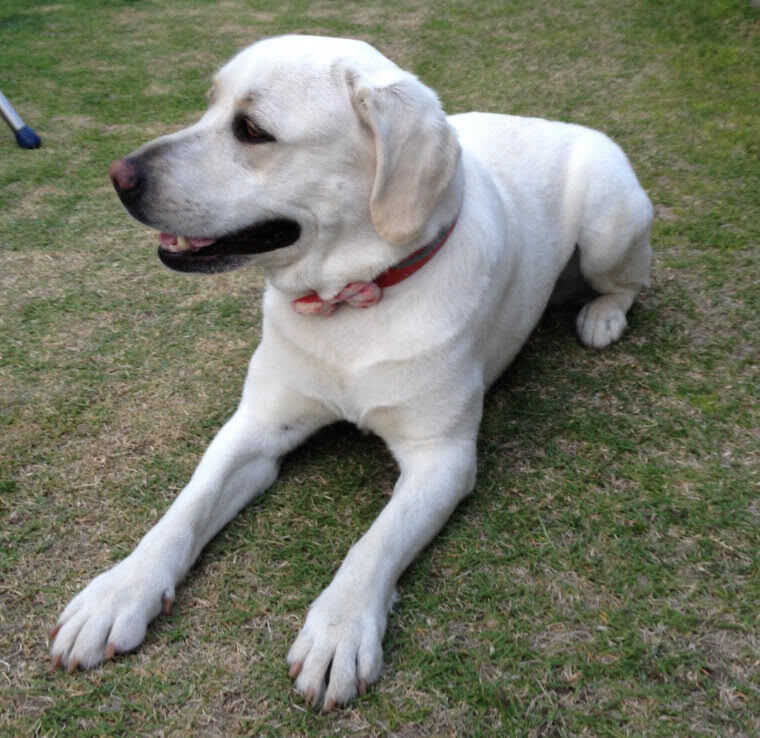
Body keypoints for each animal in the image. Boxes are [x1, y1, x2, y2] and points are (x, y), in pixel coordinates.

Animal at [50, 35, 652, 710]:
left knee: (629, 282)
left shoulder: (443, 457)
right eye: (209, 104)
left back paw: (602, 316)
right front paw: (119, 591)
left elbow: (375, 543)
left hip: (609, 225)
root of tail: (561, 124)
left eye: (252, 130)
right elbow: (184, 509)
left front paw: (339, 630)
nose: (118, 176)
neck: (349, 303)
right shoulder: (256, 425)